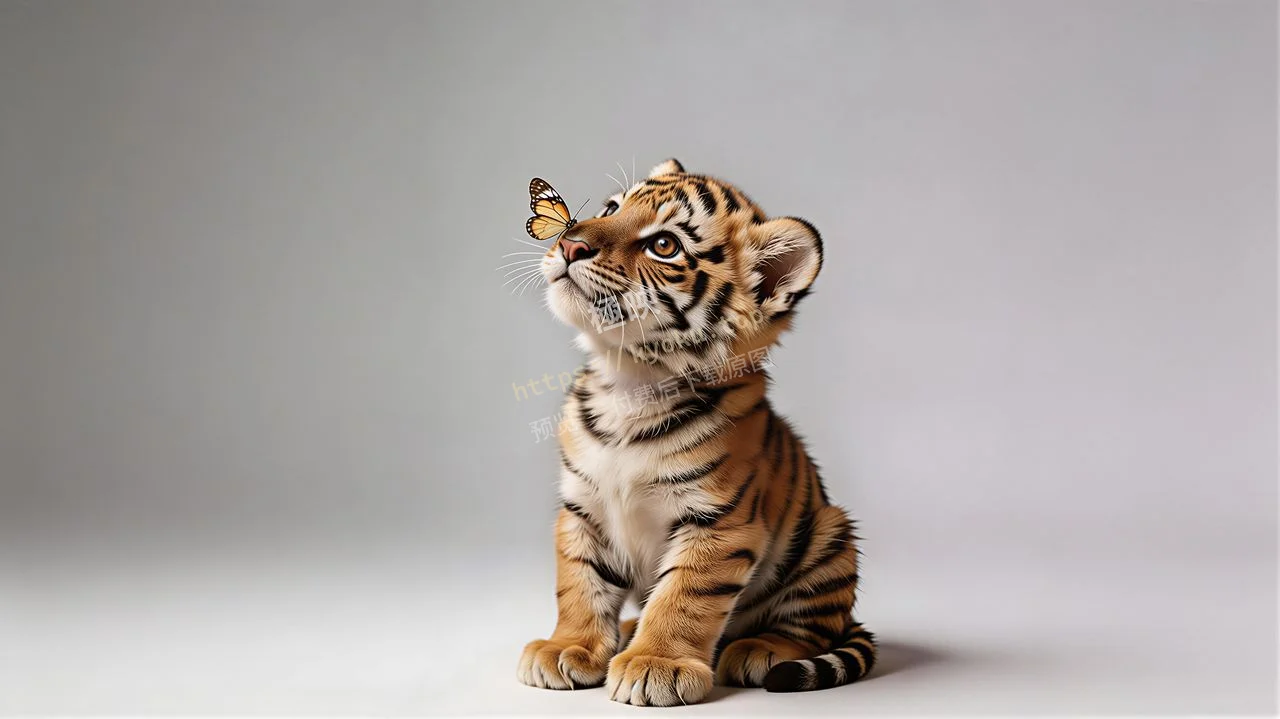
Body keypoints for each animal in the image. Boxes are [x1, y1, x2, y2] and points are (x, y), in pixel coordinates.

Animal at [517, 158, 876, 706]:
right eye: (610, 208)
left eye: (665, 245)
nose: (571, 242)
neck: (630, 382)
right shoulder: (581, 508)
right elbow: (578, 584)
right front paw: (566, 648)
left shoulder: (717, 521)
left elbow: (683, 597)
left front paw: (654, 665)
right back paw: (626, 631)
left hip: (830, 537)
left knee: (809, 630)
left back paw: (758, 649)